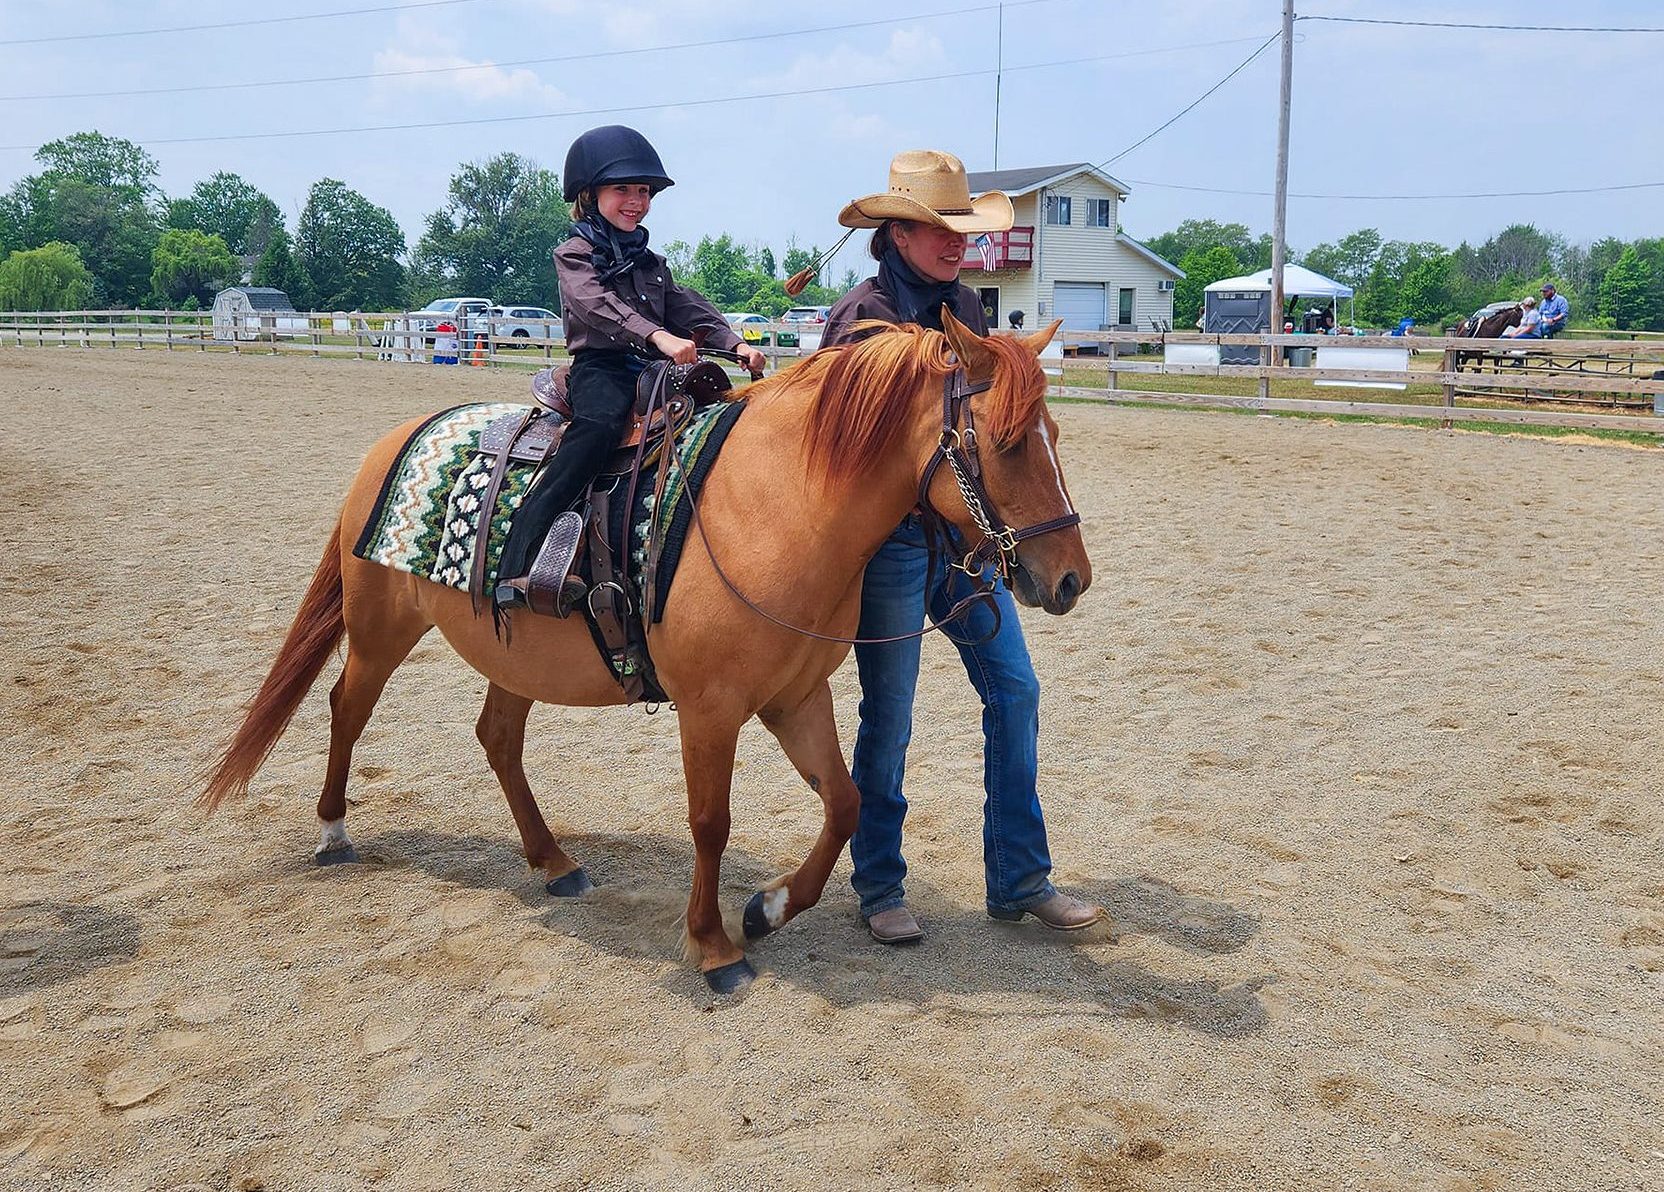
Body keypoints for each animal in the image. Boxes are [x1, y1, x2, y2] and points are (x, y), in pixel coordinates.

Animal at [201, 311, 1091, 992]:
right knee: (347, 707)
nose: (1070, 578)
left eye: (1054, 433)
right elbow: (709, 821)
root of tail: (393, 441)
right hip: (381, 629)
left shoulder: (796, 698)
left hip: (514, 657)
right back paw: (333, 833)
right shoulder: (710, 710)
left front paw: (765, 909)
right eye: (1009, 441)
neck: (779, 507)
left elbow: (844, 802)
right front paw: (714, 946)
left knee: (498, 738)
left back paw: (554, 860)